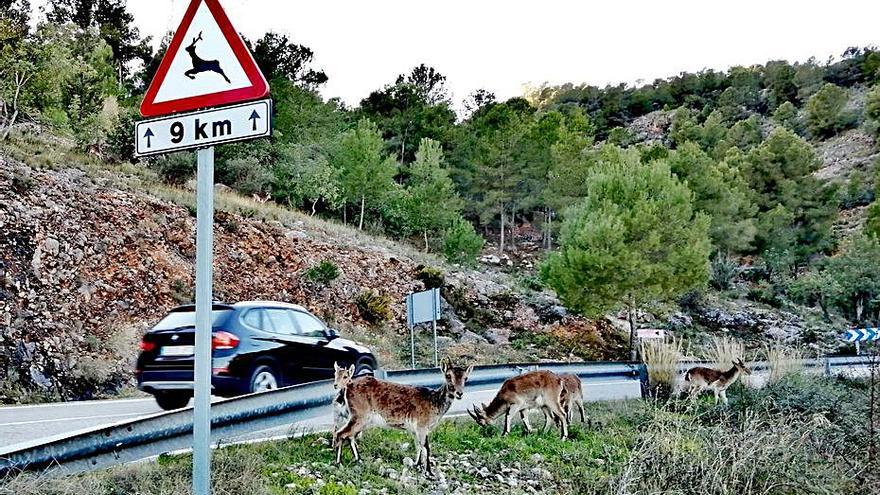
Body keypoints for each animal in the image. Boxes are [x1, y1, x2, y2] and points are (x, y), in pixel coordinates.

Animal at [334, 358, 470, 474]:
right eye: (448, 376)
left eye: (466, 378)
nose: (459, 393)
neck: (434, 402)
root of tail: (348, 387)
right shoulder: (422, 425)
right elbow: (426, 447)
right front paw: (428, 472)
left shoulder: (415, 429)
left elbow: (418, 446)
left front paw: (416, 465)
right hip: (360, 415)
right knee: (341, 433)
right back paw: (339, 463)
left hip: (358, 417)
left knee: (349, 435)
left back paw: (359, 460)